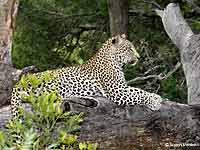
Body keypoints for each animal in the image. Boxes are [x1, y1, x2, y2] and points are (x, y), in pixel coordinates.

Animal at [10, 34, 162, 119]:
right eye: (129, 49)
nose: (139, 57)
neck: (114, 60)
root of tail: (20, 82)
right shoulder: (117, 91)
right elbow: (138, 94)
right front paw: (154, 102)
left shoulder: (121, 87)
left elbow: (138, 90)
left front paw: (156, 97)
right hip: (55, 82)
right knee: (42, 97)